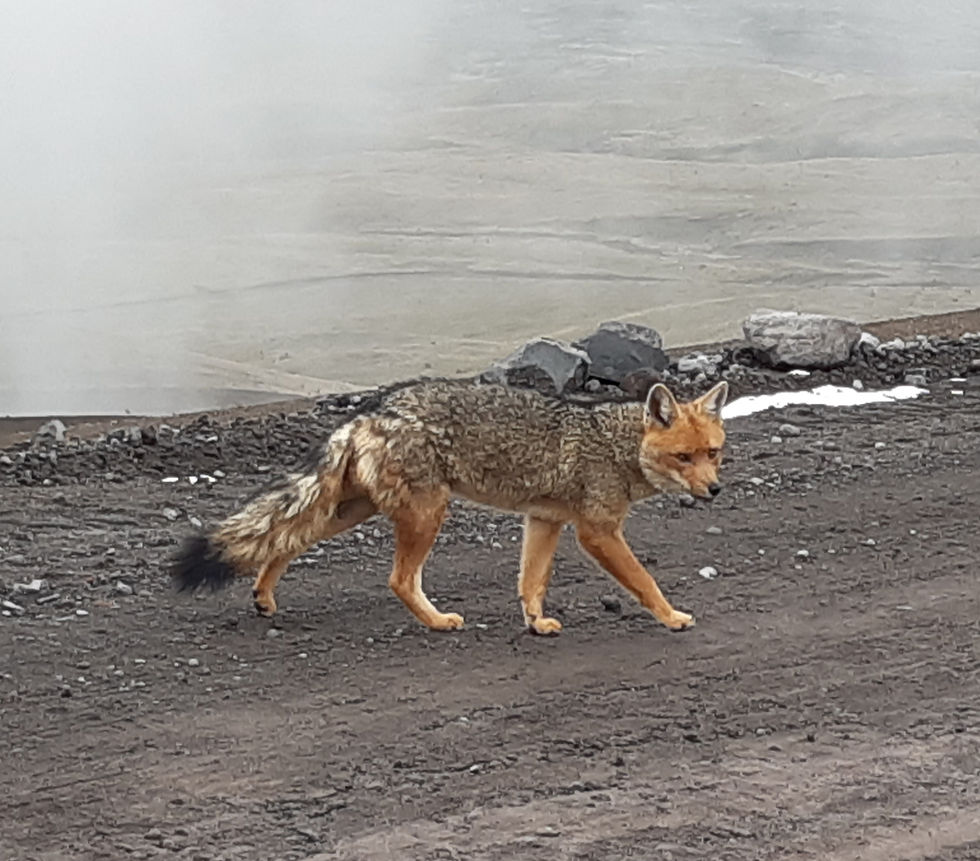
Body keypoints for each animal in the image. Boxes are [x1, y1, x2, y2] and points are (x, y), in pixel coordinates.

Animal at [171, 378, 728, 634]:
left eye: (714, 453)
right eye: (683, 457)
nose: (715, 490)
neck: (617, 444)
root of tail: (374, 410)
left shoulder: (544, 520)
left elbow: (531, 583)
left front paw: (535, 623)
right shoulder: (598, 532)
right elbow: (644, 580)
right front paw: (672, 616)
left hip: (352, 511)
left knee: (286, 537)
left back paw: (264, 595)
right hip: (426, 513)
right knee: (399, 579)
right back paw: (437, 621)